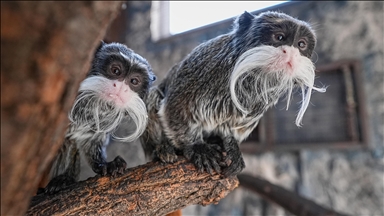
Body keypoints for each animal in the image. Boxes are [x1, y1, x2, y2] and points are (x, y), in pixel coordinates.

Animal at [140, 11, 326, 176]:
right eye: (279, 37)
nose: (292, 53)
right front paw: (196, 146)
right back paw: (162, 148)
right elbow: (175, 107)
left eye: (301, 44)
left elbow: (232, 127)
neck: (250, 78)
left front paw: (231, 144)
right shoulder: (202, 67)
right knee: (153, 95)